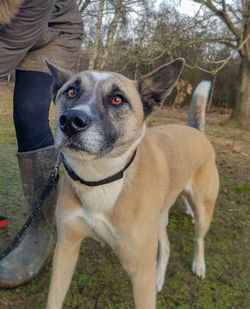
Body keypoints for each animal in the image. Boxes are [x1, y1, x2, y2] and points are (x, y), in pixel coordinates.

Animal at [46, 58, 219, 308]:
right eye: (71, 91)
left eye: (117, 99)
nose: (70, 121)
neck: (101, 179)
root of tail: (195, 130)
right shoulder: (66, 248)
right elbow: (54, 299)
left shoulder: (140, 274)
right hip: (159, 218)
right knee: (166, 247)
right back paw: (159, 278)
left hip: (204, 209)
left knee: (199, 238)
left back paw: (199, 264)